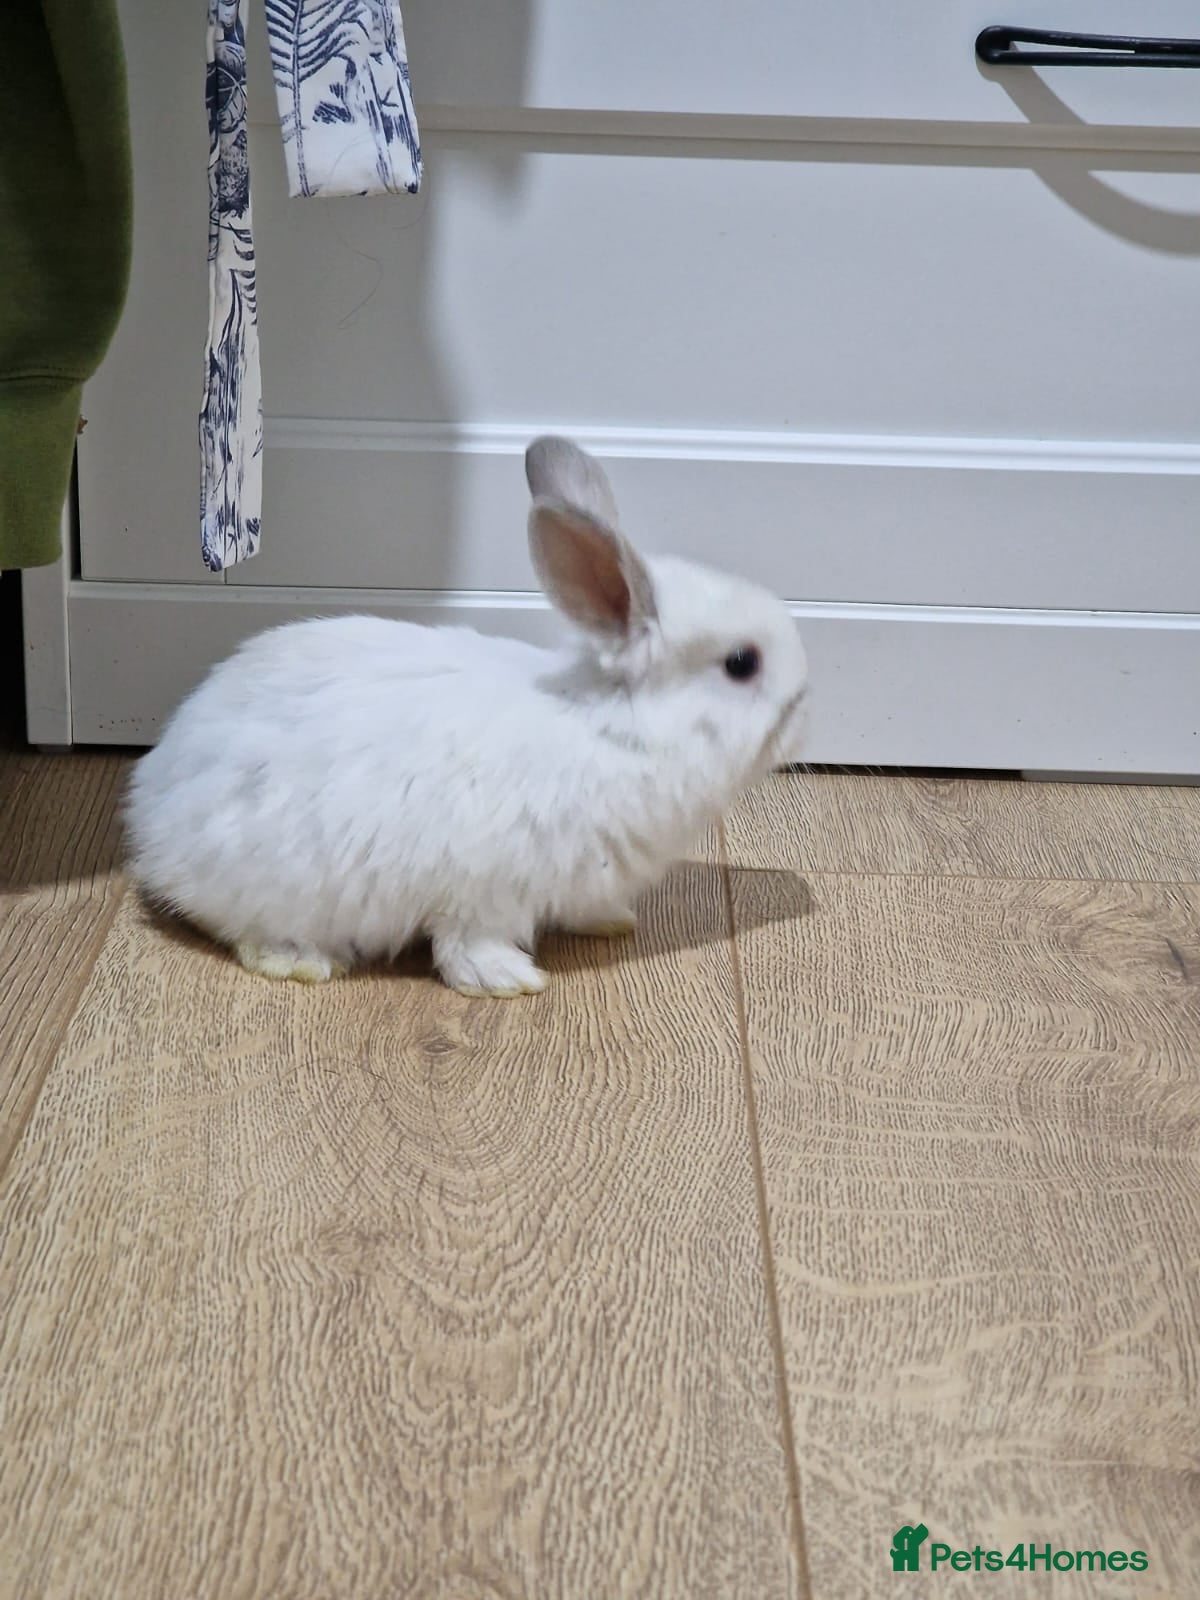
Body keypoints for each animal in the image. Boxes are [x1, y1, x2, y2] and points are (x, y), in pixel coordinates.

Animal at [124, 436, 810, 997]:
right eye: (742, 663)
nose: (804, 699)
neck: (613, 730)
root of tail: (150, 813)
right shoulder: (485, 889)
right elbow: (468, 944)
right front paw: (508, 980)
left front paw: (610, 921)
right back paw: (300, 962)